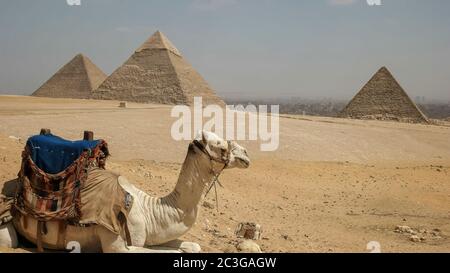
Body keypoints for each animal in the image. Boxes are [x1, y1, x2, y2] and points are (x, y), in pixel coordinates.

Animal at [0, 131, 250, 252]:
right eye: (221, 146)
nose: (246, 154)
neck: (151, 211)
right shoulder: (118, 242)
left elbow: (193, 247)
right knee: (10, 241)